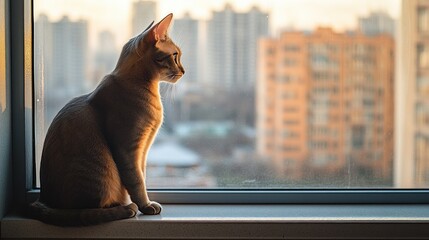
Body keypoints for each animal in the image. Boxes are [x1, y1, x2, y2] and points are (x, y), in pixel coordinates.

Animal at [28, 12, 184, 227]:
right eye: (175, 55)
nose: (184, 71)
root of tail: (41, 200)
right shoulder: (128, 149)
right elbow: (136, 181)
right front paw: (145, 205)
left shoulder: (142, 150)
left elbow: (141, 175)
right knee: (89, 211)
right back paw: (126, 208)